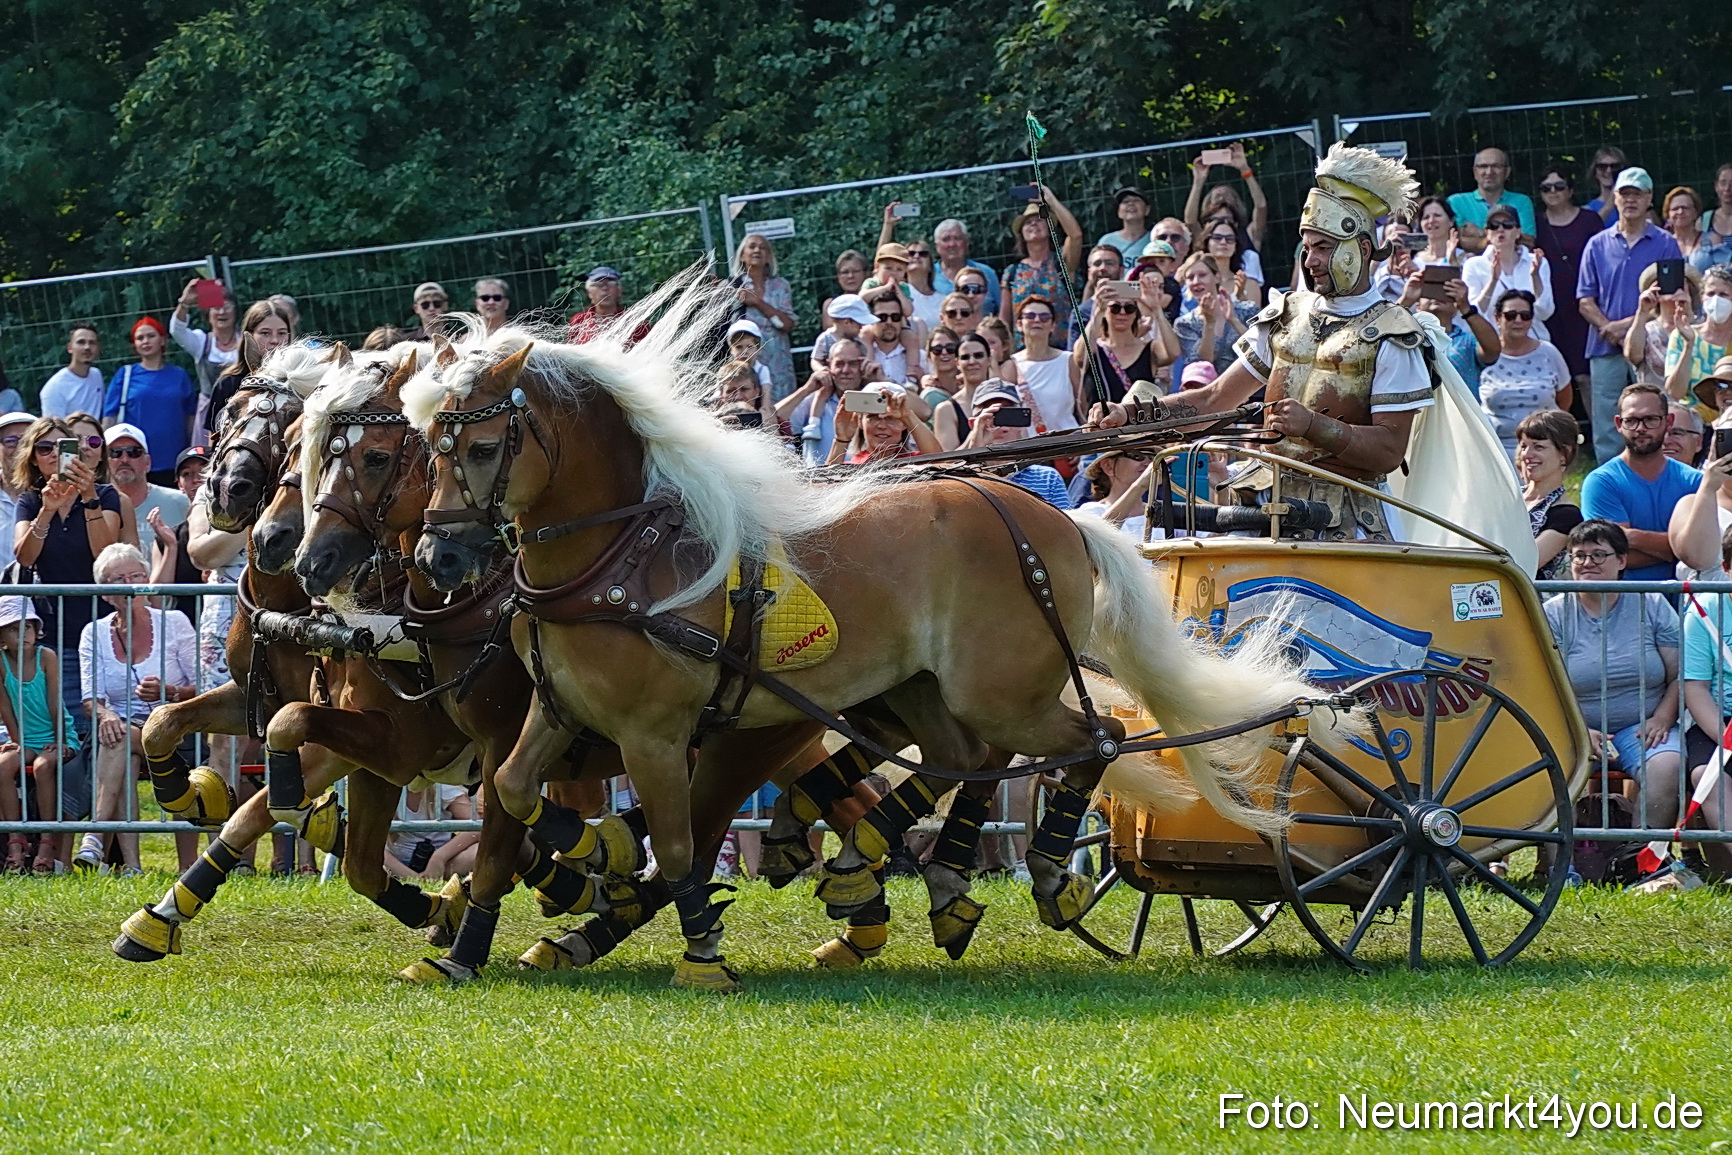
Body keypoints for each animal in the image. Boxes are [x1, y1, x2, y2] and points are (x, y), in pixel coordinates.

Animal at [405, 274, 1350, 990]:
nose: (439, 554)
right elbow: (513, 792)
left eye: (481, 447)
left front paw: (700, 952)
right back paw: (922, 878)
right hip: (926, 688)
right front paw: (507, 912)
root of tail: (1061, 522)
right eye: (428, 450)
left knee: (1095, 737)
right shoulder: (557, 709)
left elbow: (677, 840)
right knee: (970, 759)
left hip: (1002, 689)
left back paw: (1043, 872)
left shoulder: (658, 731)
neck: (623, 558)